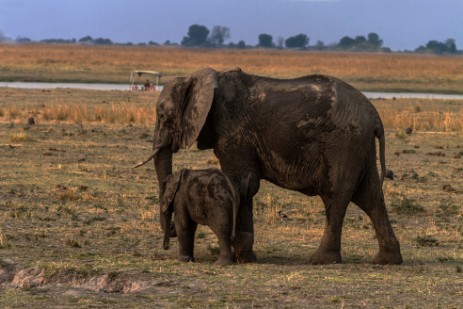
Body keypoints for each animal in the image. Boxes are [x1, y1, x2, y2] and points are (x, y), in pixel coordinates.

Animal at [136, 66, 404, 264]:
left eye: (163, 116)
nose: (169, 235)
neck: (200, 79)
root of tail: (375, 116)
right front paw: (246, 257)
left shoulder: (233, 131)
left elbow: (242, 184)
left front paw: (242, 257)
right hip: (359, 145)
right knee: (370, 197)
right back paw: (387, 260)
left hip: (343, 143)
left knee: (335, 196)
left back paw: (321, 260)